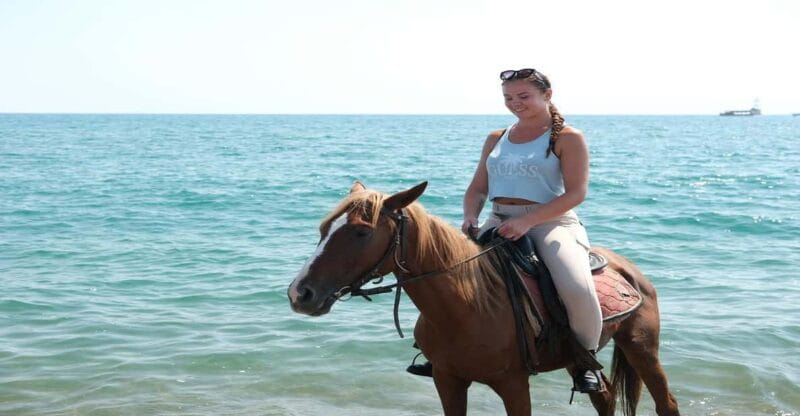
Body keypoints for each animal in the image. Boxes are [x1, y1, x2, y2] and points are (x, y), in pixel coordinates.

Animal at [288, 181, 680, 416]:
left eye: (360, 232)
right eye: (324, 228)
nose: (299, 293)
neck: (466, 307)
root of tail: (630, 270)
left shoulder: (514, 385)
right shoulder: (447, 380)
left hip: (641, 348)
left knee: (666, 403)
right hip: (579, 357)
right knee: (605, 396)